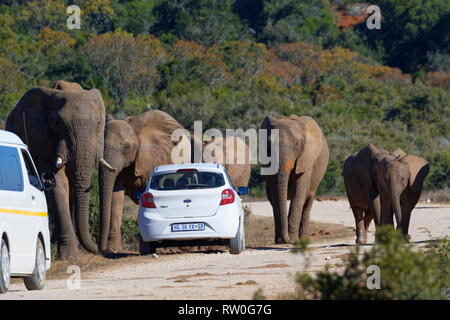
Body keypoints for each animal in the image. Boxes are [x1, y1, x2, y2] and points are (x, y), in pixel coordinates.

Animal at [6, 80, 107, 258]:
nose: (99, 249)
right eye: (57, 123)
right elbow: (59, 183)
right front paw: (70, 256)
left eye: (98, 124)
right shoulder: (41, 139)